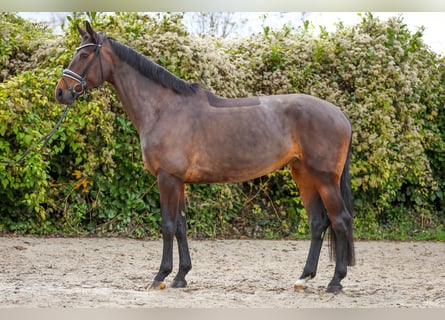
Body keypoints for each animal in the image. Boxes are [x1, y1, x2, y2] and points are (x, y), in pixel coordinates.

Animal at [54, 21, 354, 294]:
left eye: (84, 55)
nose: (60, 91)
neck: (164, 108)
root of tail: (340, 115)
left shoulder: (167, 178)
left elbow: (167, 225)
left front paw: (160, 276)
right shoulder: (178, 181)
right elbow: (181, 226)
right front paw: (181, 276)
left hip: (325, 179)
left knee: (340, 220)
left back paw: (335, 281)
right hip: (303, 175)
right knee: (318, 222)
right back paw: (304, 278)